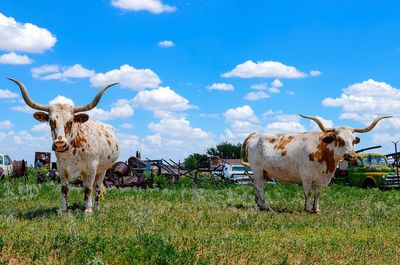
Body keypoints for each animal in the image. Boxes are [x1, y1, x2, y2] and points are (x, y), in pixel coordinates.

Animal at [8, 78, 119, 212]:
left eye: (71, 121)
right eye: (51, 121)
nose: (60, 144)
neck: (72, 151)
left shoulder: (92, 167)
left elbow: (88, 189)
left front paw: (88, 210)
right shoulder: (61, 168)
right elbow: (64, 188)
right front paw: (63, 209)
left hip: (102, 169)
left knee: (96, 187)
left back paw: (95, 207)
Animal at [241, 115, 390, 212]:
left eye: (353, 140)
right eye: (339, 139)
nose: (352, 156)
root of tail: (254, 135)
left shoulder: (321, 178)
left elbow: (317, 194)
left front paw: (316, 209)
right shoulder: (306, 176)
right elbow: (308, 193)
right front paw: (307, 208)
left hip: (264, 172)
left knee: (255, 187)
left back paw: (259, 205)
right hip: (258, 170)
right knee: (260, 188)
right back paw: (266, 206)